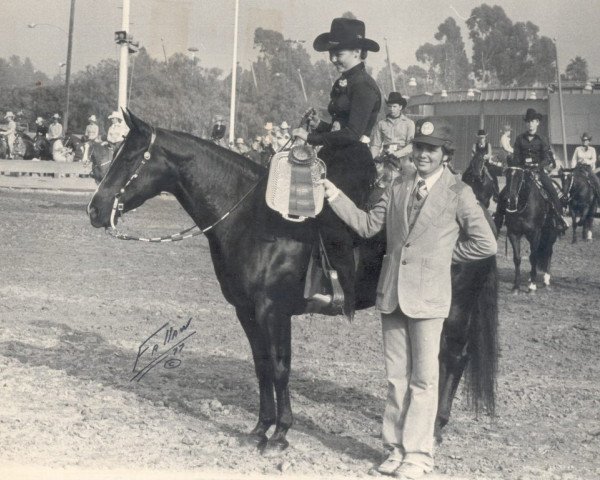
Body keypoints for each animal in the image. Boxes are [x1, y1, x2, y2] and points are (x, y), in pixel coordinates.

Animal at [86, 110, 500, 456]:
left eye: (129, 157)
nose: (95, 208)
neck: (252, 218)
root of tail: (480, 210)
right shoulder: (247, 312)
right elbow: (262, 367)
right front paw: (260, 428)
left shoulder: (274, 311)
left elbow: (281, 366)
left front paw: (281, 433)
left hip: (454, 308)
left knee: (453, 358)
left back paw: (436, 428)